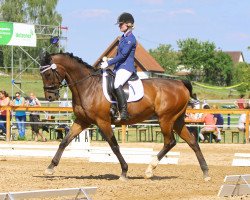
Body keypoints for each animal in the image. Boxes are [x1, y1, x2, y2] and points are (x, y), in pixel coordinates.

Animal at [39, 51, 211, 181]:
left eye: (48, 74)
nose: (50, 97)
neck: (87, 87)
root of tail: (180, 84)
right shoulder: (83, 121)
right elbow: (64, 142)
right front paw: (50, 167)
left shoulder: (103, 122)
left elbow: (114, 146)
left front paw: (124, 171)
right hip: (177, 120)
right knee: (192, 142)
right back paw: (206, 173)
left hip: (166, 119)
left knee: (170, 142)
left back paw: (149, 170)